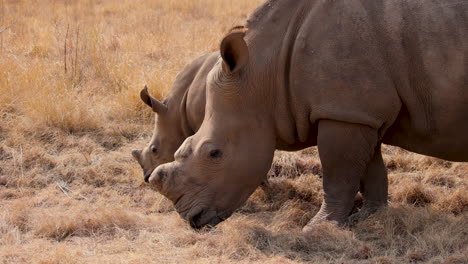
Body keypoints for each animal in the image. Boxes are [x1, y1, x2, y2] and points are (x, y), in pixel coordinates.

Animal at [148, 0, 466, 230]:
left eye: (214, 153)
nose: (190, 218)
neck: (265, 72)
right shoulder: (358, 111)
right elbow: (371, 169)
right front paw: (370, 218)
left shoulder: (342, 112)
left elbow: (338, 174)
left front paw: (318, 228)